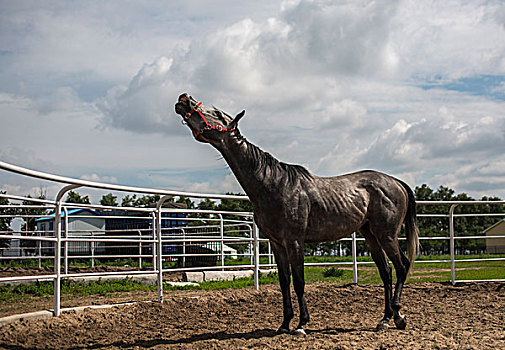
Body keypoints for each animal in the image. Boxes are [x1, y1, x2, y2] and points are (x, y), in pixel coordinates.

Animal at [175, 93, 420, 334]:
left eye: (216, 113)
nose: (184, 98)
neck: (273, 184)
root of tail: (396, 182)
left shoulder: (294, 241)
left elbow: (299, 281)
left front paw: (302, 324)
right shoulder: (277, 244)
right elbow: (285, 282)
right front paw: (285, 324)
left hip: (386, 235)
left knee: (401, 266)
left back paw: (398, 316)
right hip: (370, 235)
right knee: (386, 272)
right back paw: (385, 319)